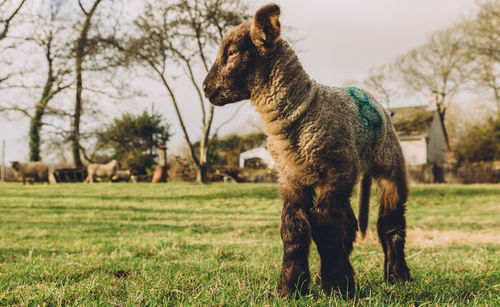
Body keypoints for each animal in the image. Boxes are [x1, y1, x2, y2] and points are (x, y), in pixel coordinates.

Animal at [203, 3, 410, 300]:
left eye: (231, 52)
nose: (206, 88)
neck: (301, 111)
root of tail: (373, 99)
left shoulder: (334, 173)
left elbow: (325, 226)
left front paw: (336, 287)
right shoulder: (291, 177)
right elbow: (294, 228)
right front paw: (291, 288)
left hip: (389, 164)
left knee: (390, 222)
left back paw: (397, 276)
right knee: (349, 223)